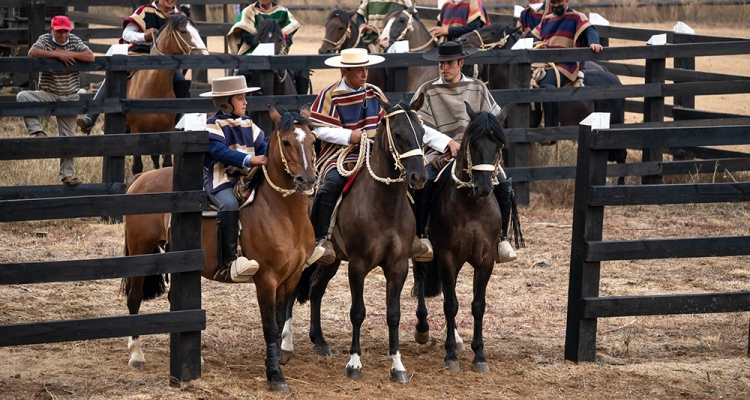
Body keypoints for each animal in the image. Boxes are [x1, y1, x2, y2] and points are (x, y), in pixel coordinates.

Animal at [119, 106, 318, 394]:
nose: (307, 180)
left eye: (312, 141)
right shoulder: (266, 279)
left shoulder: (290, 278)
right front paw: (275, 375)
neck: (283, 214)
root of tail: (141, 179)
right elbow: (269, 326)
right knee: (134, 298)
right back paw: (136, 355)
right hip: (140, 253)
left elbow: (280, 321)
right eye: (287, 142)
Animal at [126, 14, 209, 175]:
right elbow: (137, 167)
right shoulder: (135, 131)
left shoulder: (167, 130)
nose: (205, 55)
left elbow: (166, 163)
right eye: (183, 31)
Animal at [282, 95, 428, 382]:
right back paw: (286, 344)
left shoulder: (398, 266)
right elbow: (357, 312)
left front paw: (397, 365)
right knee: (293, 292)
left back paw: (319, 341)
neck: (384, 206)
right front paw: (354, 363)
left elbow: (393, 314)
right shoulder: (358, 266)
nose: (419, 177)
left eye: (422, 132)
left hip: (332, 260)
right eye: (398, 134)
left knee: (315, 288)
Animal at [414, 101, 516, 374]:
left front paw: (479, 355)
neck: (472, 206)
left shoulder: (485, 260)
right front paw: (450, 355)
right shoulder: (446, 257)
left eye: (499, 146)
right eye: (473, 143)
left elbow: (477, 304)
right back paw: (422, 329)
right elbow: (451, 303)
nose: (484, 188)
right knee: (420, 279)